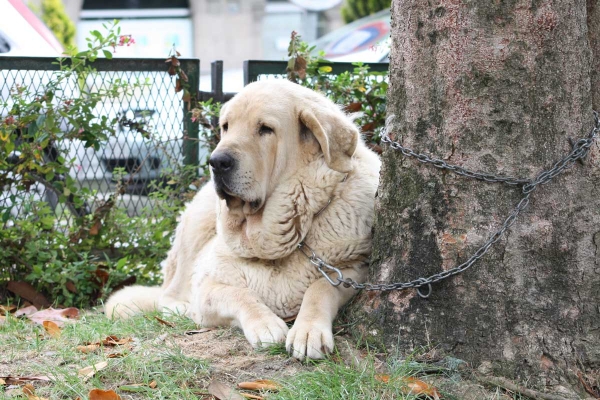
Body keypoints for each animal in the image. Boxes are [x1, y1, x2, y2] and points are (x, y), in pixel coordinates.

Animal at [104, 79, 380, 360]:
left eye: (265, 129)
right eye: (226, 126)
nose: (216, 162)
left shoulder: (355, 270)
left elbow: (320, 287)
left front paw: (308, 330)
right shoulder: (207, 285)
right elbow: (238, 294)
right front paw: (265, 324)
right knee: (168, 295)